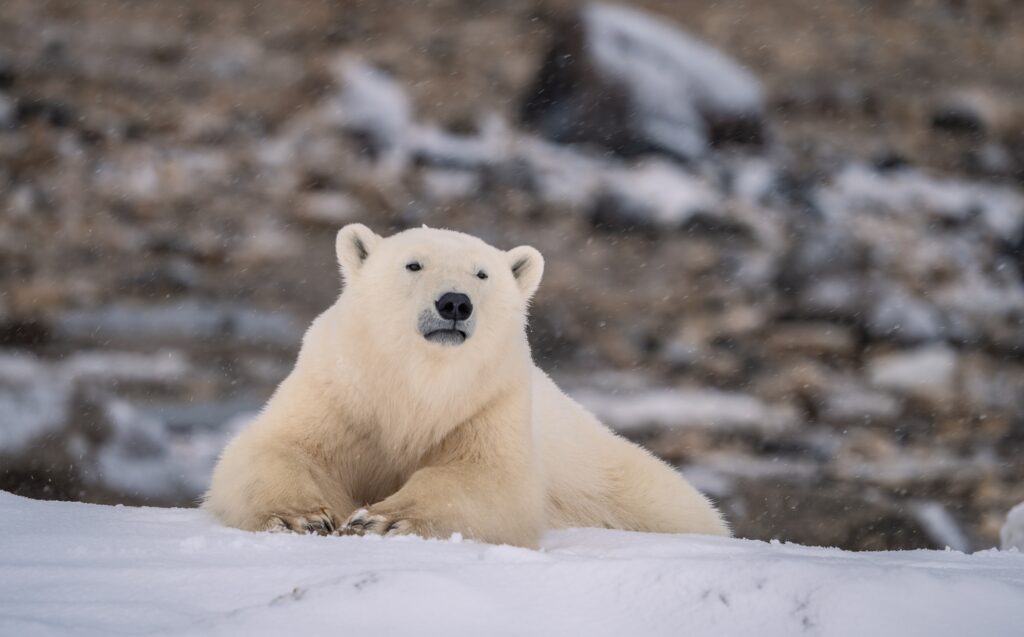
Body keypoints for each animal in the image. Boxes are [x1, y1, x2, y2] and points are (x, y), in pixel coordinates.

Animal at [204, 224, 728, 547]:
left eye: (483, 273)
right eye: (413, 264)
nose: (454, 302)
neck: (419, 384)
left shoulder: (489, 402)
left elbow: (483, 478)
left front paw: (381, 519)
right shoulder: (339, 392)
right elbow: (281, 448)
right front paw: (303, 516)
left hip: (627, 485)